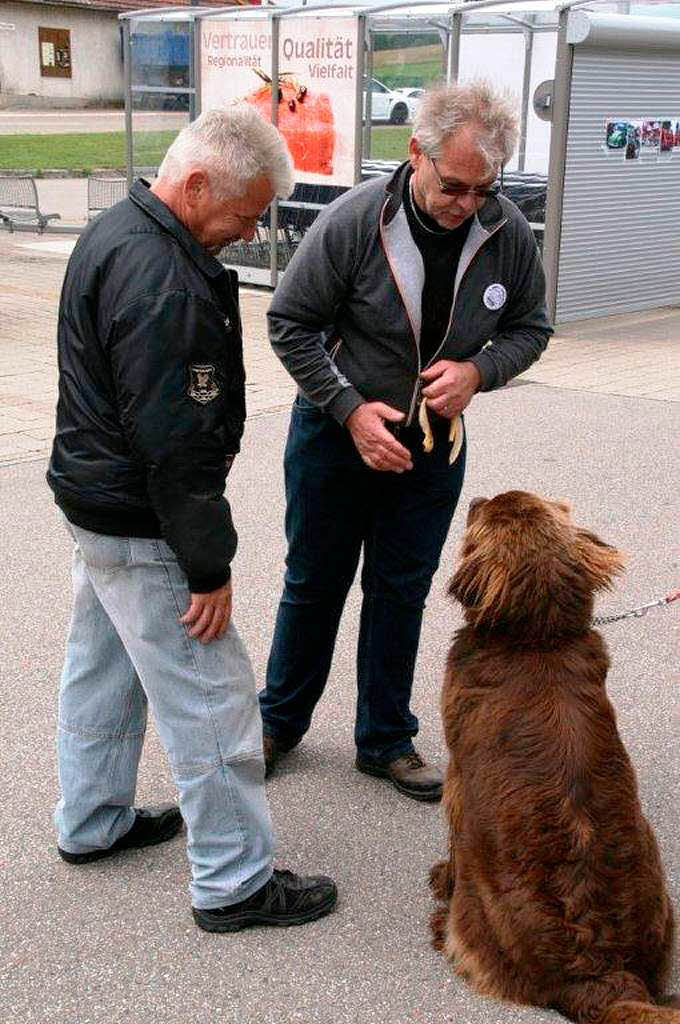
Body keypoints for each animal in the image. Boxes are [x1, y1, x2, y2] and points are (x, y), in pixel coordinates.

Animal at [432, 491, 675, 1019]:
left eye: (482, 514)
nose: (474, 497)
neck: (536, 641)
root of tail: (602, 976)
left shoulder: (458, 780)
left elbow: (453, 837)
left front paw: (442, 876)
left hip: (477, 917)